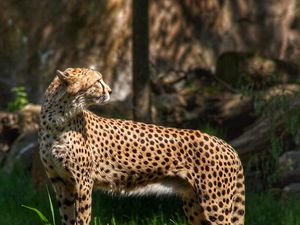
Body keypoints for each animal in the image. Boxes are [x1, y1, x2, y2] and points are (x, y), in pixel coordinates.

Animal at [38, 68, 245, 225]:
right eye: (97, 81)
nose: (110, 91)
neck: (59, 118)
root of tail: (224, 143)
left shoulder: (83, 182)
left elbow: (83, 217)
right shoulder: (61, 182)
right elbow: (67, 217)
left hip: (214, 203)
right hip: (194, 203)